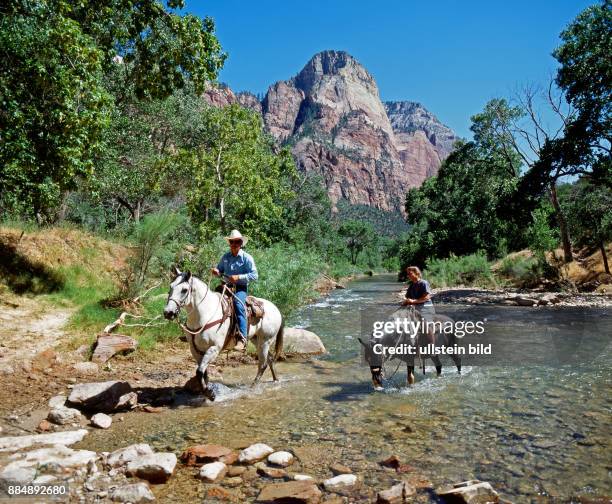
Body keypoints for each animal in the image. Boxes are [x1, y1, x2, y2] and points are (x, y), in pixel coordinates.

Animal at [164, 270, 286, 400]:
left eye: (184, 290)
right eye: (170, 287)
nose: (168, 313)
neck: (205, 313)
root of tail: (276, 308)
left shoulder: (214, 348)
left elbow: (200, 371)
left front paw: (210, 394)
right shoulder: (195, 350)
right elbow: (203, 372)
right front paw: (206, 391)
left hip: (265, 341)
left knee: (262, 365)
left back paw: (252, 387)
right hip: (256, 340)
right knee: (270, 359)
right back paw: (275, 380)